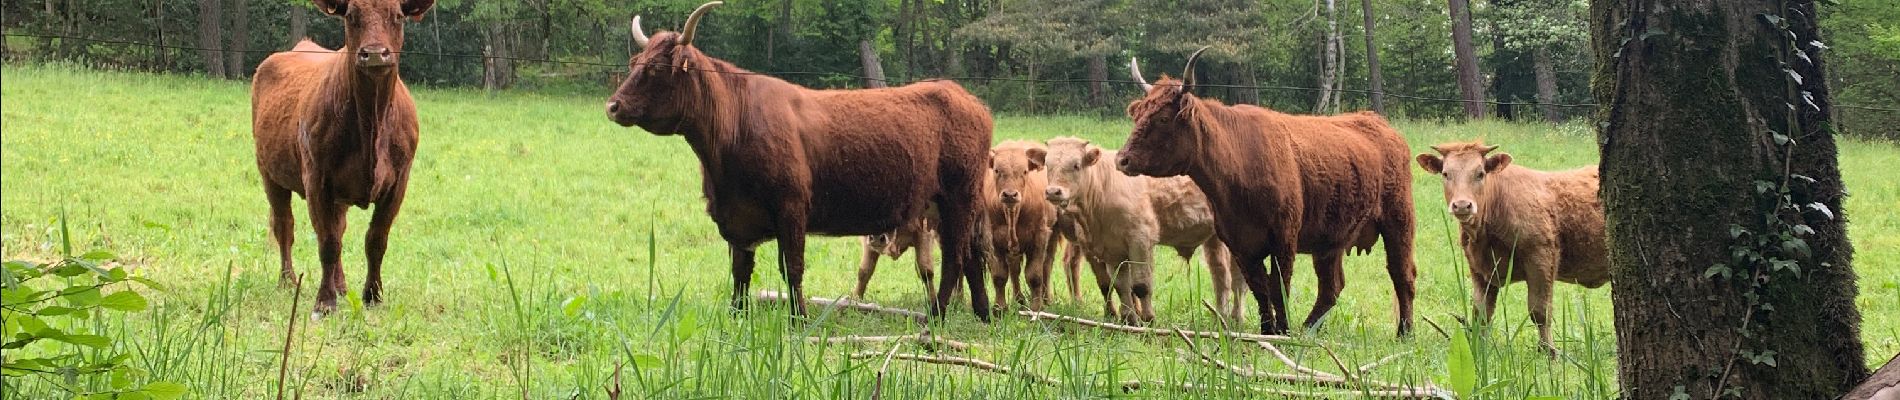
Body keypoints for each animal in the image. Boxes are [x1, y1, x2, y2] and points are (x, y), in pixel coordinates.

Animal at [248, 0, 431, 314]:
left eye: (398, 16)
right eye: (351, 15)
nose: (374, 53)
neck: (372, 121)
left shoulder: (399, 182)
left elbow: (375, 240)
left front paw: (373, 296)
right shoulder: (317, 179)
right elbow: (328, 242)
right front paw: (325, 302)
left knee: (339, 227)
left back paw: (343, 286)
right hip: (269, 174)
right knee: (285, 225)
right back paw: (287, 281)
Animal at [988, 140, 1064, 312]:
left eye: (1024, 171)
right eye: (997, 170)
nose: (1010, 195)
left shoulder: (1039, 237)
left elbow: (1034, 276)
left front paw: (1036, 308)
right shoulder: (993, 240)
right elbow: (999, 276)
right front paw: (999, 308)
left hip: (1053, 234)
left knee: (1046, 266)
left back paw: (1046, 299)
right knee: (1014, 269)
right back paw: (1019, 299)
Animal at [1421, 142, 1611, 354]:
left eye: (1480, 173)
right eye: (1446, 174)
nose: (1462, 205)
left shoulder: (1541, 258)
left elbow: (1540, 311)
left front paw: (1549, 352)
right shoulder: (1479, 269)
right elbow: (1481, 313)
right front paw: (1479, 351)